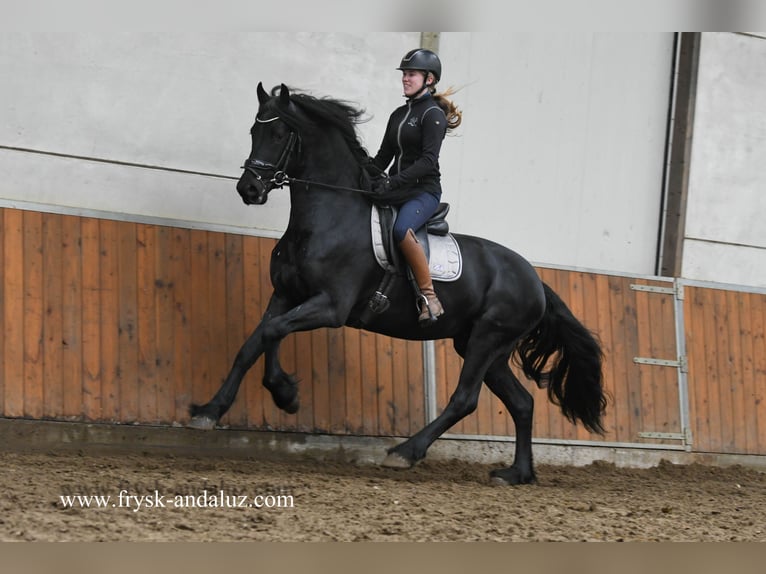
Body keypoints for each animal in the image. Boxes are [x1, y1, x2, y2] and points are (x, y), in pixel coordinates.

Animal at [190, 82, 608, 486]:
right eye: (253, 131)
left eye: (278, 134)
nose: (249, 189)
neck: (327, 219)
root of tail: (535, 279)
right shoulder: (286, 294)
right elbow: (257, 341)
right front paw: (220, 408)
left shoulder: (330, 306)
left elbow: (272, 332)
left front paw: (281, 393)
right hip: (482, 346)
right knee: (522, 403)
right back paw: (516, 474)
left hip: (489, 339)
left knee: (465, 399)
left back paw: (405, 452)